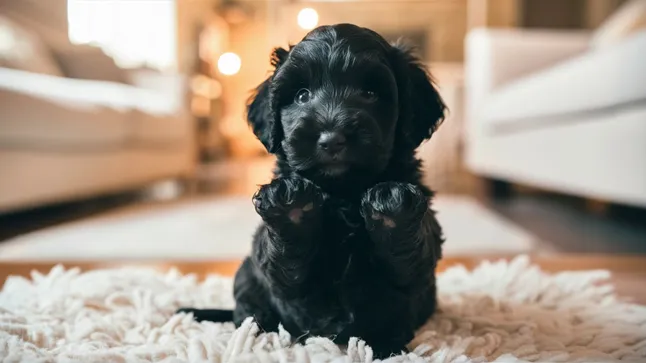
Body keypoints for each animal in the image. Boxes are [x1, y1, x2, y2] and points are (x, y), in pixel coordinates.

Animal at [180, 23, 448, 362]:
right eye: (301, 95)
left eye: (370, 93)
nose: (332, 139)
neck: (343, 192)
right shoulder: (281, 276)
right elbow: (284, 263)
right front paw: (290, 209)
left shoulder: (418, 268)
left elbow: (410, 260)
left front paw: (391, 208)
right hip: (246, 272)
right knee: (247, 307)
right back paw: (256, 334)